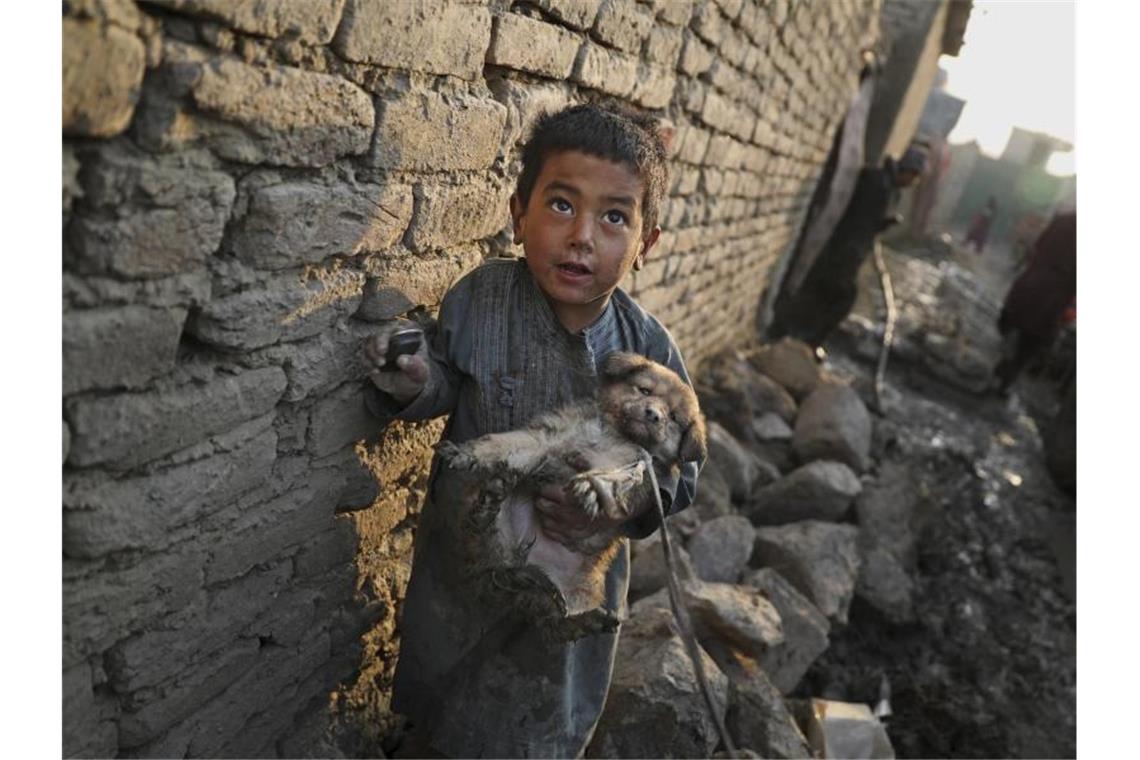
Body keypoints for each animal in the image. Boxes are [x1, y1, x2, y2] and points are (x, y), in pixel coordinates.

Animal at [435, 353, 702, 638]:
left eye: (673, 417)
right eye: (644, 390)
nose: (653, 415)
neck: (616, 434)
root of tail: (521, 566)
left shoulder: (631, 464)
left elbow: (611, 476)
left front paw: (592, 488)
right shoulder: (547, 437)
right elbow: (501, 443)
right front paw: (466, 452)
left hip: (579, 594)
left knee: (557, 621)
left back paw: (593, 620)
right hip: (502, 536)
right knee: (487, 537)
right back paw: (490, 503)